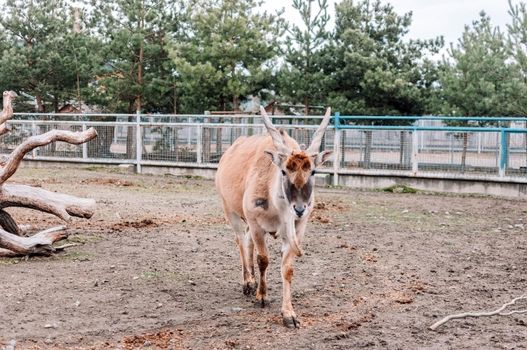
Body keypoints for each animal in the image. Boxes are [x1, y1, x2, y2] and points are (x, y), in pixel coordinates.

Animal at [213, 106, 330, 328]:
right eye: (283, 171)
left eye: (313, 171)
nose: (299, 209)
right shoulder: (257, 225)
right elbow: (263, 259)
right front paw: (262, 296)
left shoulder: (297, 229)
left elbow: (287, 268)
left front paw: (289, 314)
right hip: (230, 211)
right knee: (240, 240)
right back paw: (248, 283)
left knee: (247, 241)